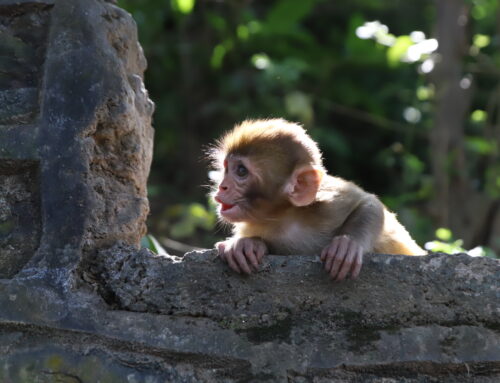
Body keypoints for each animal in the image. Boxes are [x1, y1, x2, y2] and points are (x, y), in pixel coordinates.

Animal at [209, 118, 424, 280]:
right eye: (227, 168)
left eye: (241, 171)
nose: (222, 186)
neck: (285, 217)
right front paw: (245, 245)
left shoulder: (328, 202)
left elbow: (368, 203)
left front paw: (348, 244)